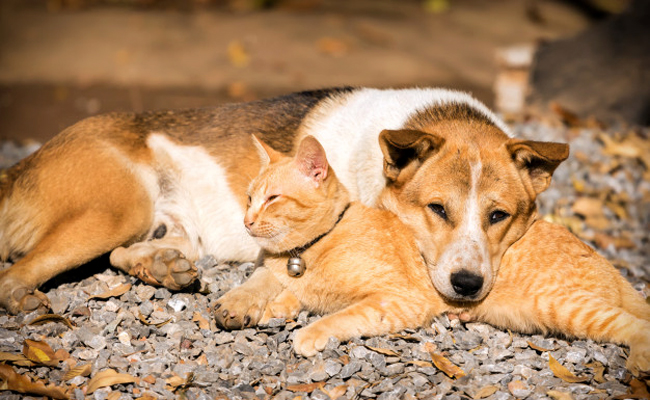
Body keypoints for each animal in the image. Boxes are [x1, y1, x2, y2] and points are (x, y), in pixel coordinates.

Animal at [0, 87, 568, 316]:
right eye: (437, 210)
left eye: (499, 216)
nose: (468, 285)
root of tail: (21, 165)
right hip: (117, 209)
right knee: (15, 274)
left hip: (164, 227)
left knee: (130, 252)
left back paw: (161, 267)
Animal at [214, 135, 648, 376]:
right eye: (250, 197)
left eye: (273, 198)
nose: (246, 219)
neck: (311, 248)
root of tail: (610, 264)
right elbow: (289, 295)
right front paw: (273, 307)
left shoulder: (398, 299)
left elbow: (342, 315)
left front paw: (308, 332)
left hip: (569, 307)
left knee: (635, 324)